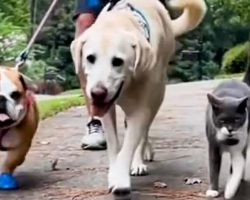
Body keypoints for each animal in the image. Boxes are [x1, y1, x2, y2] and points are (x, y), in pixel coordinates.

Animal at [70, 0, 205, 197]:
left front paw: (121, 178)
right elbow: (114, 144)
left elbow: (129, 144)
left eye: (117, 61)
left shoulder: (141, 109)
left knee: (144, 131)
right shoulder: (107, 112)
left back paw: (140, 160)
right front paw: (114, 171)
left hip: (156, 97)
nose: (97, 93)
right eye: (90, 58)